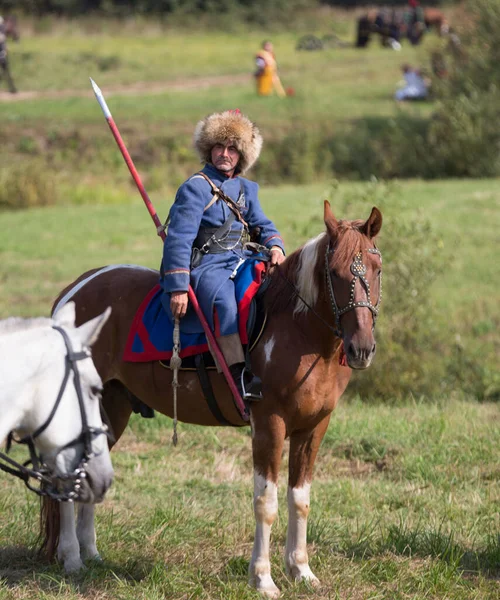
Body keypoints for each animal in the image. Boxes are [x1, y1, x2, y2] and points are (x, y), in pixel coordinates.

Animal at [41, 204, 382, 596]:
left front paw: (301, 570)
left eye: (377, 269)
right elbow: (266, 502)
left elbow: (300, 499)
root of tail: (73, 292)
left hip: (112, 409)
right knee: (67, 477)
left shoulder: (313, 428)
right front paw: (263, 578)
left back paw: (91, 553)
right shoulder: (269, 425)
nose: (361, 349)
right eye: (335, 273)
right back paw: (71, 558)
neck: (300, 331)